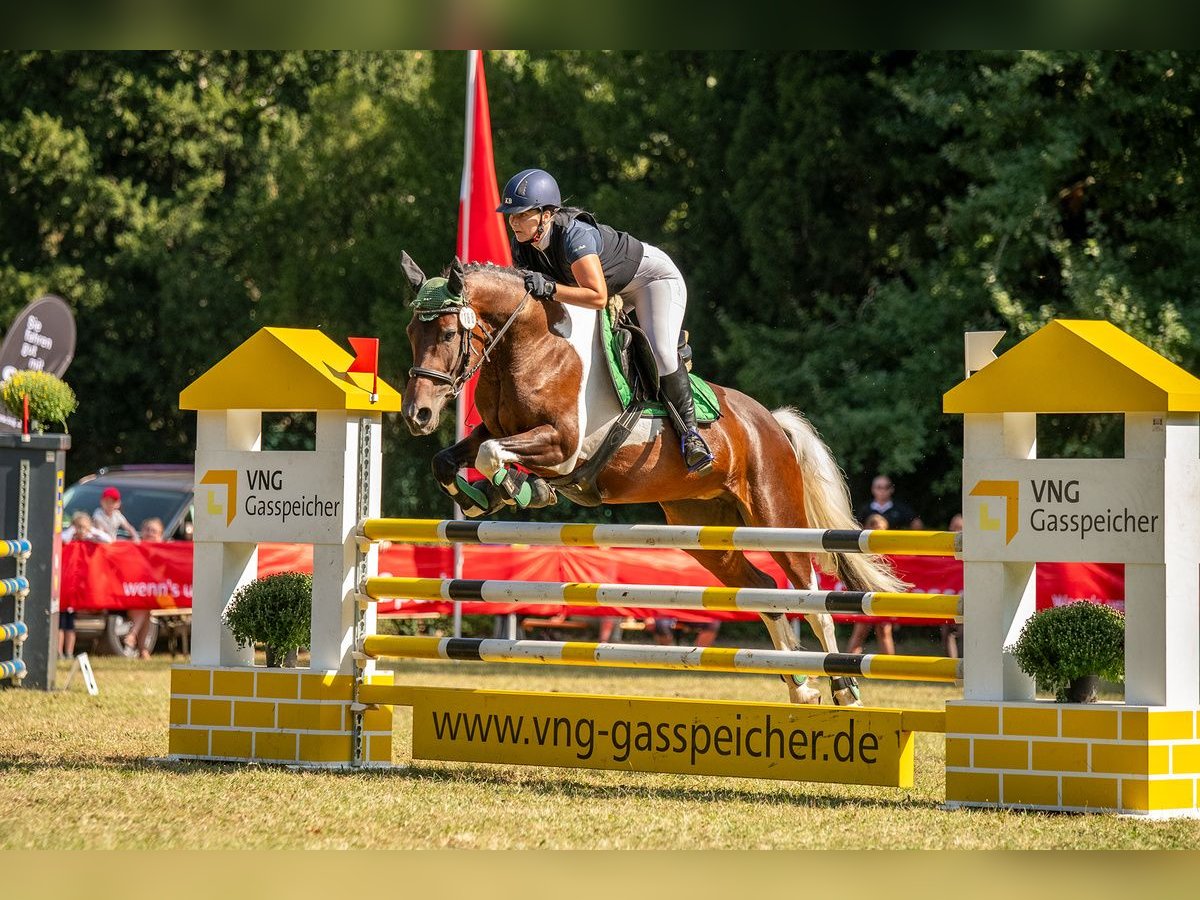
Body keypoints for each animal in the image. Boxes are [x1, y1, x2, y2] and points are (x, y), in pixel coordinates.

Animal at [398, 256, 902, 710]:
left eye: (448, 333)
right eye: (410, 334)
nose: (417, 415)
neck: (531, 347)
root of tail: (770, 422)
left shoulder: (563, 445)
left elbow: (492, 453)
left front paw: (520, 489)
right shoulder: (498, 430)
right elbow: (451, 458)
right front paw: (479, 498)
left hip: (777, 518)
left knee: (810, 594)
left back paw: (843, 687)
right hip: (706, 530)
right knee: (763, 587)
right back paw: (800, 687)